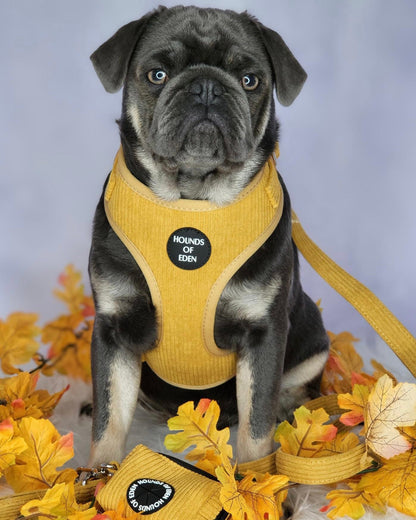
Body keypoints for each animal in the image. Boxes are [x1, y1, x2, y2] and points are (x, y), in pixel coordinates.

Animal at [87, 4, 328, 468]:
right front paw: (97, 475)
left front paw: (255, 479)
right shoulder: (115, 328)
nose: (206, 87)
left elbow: (257, 425)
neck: (192, 201)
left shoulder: (263, 334)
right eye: (157, 74)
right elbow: (109, 422)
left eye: (250, 81)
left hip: (313, 334)